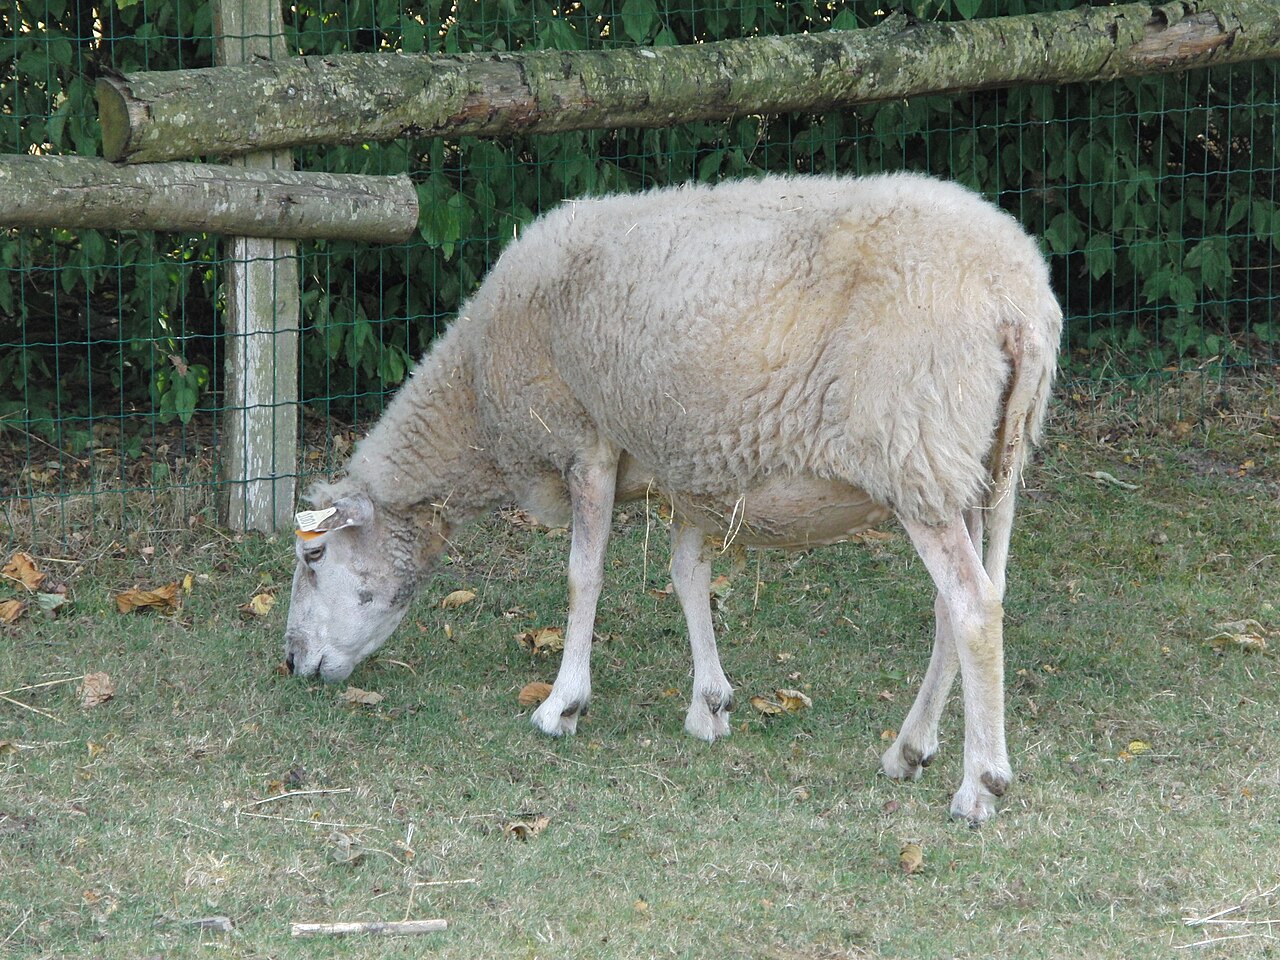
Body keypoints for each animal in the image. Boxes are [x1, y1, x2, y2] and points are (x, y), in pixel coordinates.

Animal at [283, 172, 1062, 823]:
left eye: (314, 556)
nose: (292, 664)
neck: (476, 395)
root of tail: (1020, 298)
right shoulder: (690, 466)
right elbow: (688, 576)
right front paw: (709, 705)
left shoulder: (587, 441)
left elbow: (584, 576)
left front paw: (563, 705)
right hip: (973, 465)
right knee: (960, 602)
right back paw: (909, 750)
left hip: (916, 450)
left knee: (972, 605)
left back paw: (979, 785)